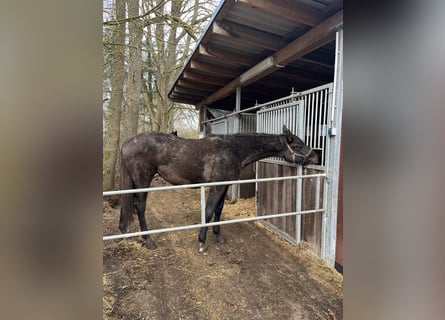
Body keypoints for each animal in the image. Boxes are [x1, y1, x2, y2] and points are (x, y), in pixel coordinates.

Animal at [119, 125, 318, 252]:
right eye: (298, 145)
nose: (316, 157)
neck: (233, 150)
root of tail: (127, 142)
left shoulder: (225, 185)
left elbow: (219, 209)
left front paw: (218, 235)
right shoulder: (216, 186)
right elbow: (208, 211)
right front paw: (201, 241)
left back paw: (123, 231)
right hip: (143, 180)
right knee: (140, 207)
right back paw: (148, 240)